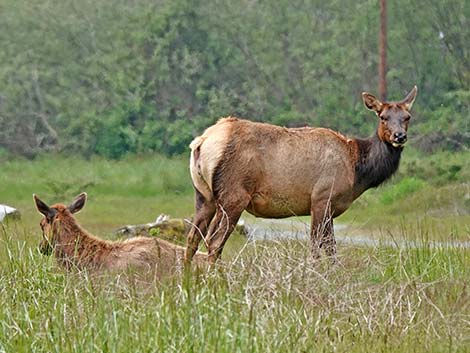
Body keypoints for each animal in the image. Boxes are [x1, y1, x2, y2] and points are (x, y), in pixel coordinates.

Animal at [185, 86, 416, 262]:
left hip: (204, 195)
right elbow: (316, 247)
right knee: (214, 242)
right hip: (234, 194)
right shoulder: (321, 197)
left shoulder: (329, 207)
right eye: (383, 117)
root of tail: (201, 142)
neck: (357, 169)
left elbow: (331, 249)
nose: (399, 136)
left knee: (192, 238)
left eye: (407, 117)